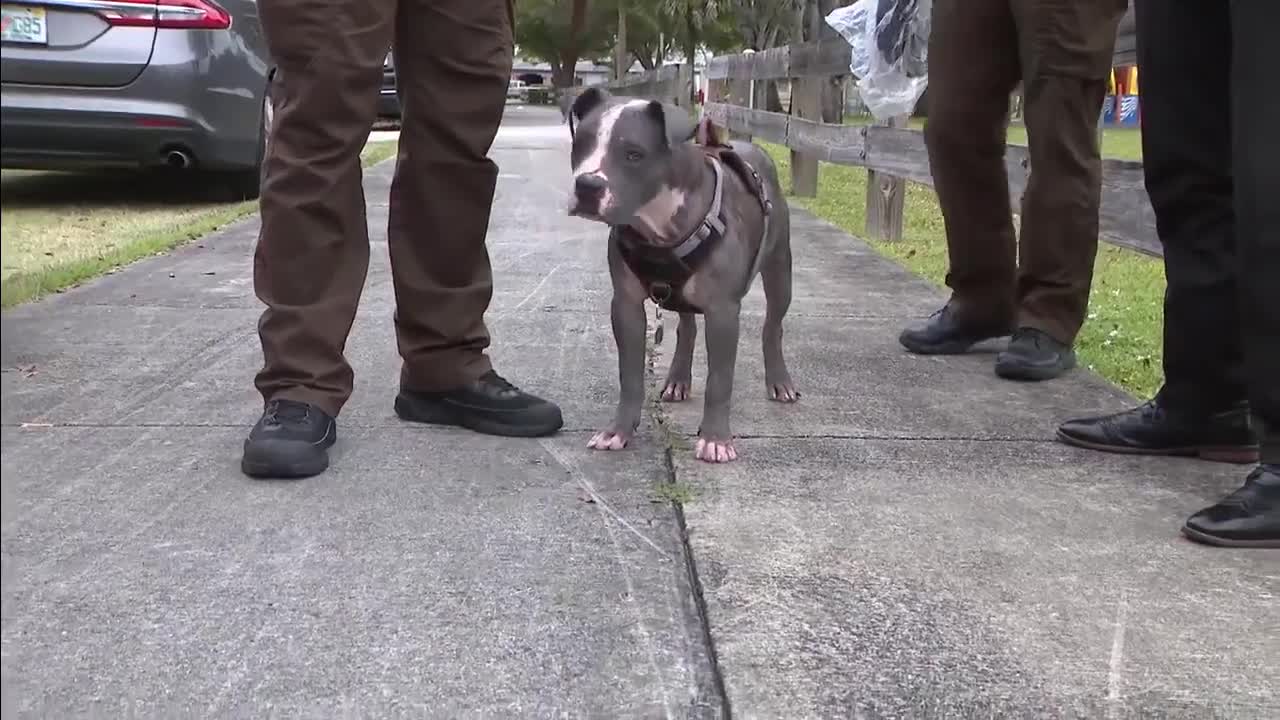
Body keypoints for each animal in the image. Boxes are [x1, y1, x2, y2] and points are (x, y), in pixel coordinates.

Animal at [565, 87, 793, 461]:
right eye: (580, 144)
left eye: (634, 154)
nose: (586, 185)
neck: (657, 224)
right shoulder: (625, 306)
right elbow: (630, 376)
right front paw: (619, 431)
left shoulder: (723, 311)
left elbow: (720, 380)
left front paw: (716, 440)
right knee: (686, 328)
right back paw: (677, 380)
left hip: (779, 272)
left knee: (772, 327)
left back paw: (780, 382)